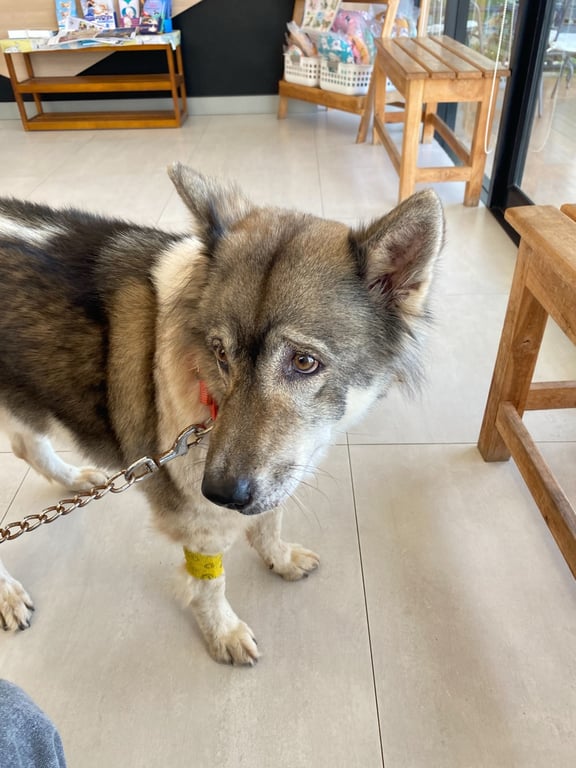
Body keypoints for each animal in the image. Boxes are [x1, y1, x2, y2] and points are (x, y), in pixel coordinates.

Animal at [0, 164, 444, 664]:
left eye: (304, 362)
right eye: (220, 353)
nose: (221, 492)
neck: (208, 402)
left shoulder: (271, 479)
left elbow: (270, 519)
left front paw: (279, 558)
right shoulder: (197, 520)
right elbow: (210, 584)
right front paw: (223, 633)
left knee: (26, 444)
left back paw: (74, 479)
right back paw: (8, 594)